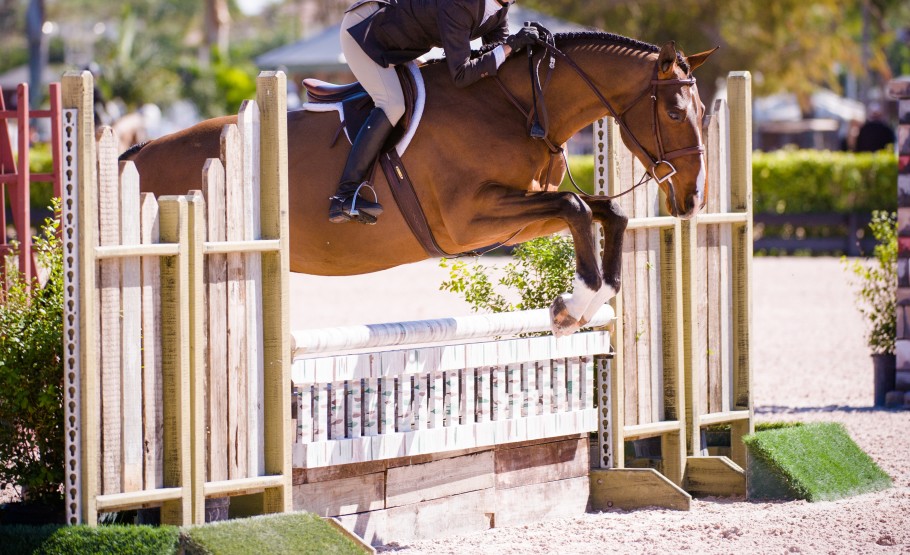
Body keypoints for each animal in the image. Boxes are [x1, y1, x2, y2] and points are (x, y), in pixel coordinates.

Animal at [124, 34, 716, 336]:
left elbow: (605, 212)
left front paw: (583, 304)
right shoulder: (466, 221)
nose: (691, 199)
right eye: (673, 111)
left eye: (704, 110)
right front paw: (572, 306)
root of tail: (137, 153)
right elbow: (574, 204)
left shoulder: (517, 216)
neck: (519, 105)